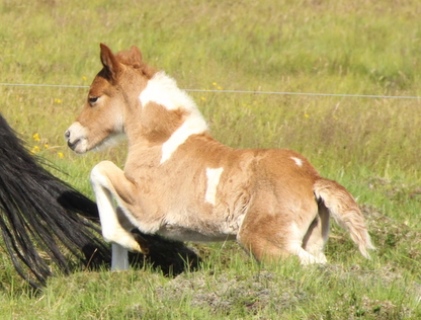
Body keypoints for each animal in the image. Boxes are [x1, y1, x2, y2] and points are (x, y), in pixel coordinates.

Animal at [66, 43, 374, 270]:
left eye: (93, 98)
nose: (70, 136)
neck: (162, 142)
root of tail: (312, 178)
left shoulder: (149, 208)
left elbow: (100, 169)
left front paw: (129, 244)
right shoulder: (139, 209)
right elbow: (116, 215)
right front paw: (120, 272)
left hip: (260, 239)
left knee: (317, 268)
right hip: (309, 239)